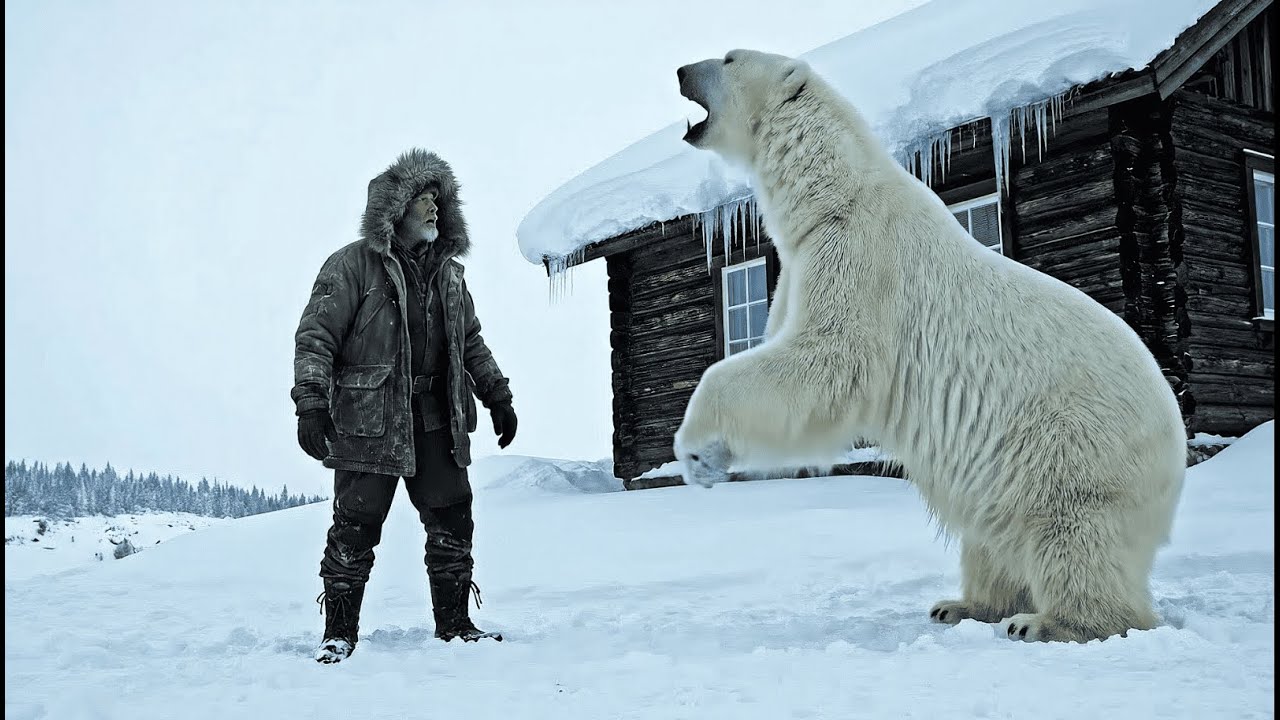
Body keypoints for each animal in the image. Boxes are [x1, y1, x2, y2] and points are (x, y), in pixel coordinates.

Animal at [672, 49, 1186, 643]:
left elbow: (825, 362)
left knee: (1072, 532)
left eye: (729, 58)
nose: (681, 70)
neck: (832, 194)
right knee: (989, 538)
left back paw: (1049, 622)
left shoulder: (859, 256)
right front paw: (712, 460)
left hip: (1075, 445)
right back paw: (962, 605)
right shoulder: (801, 267)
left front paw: (694, 450)